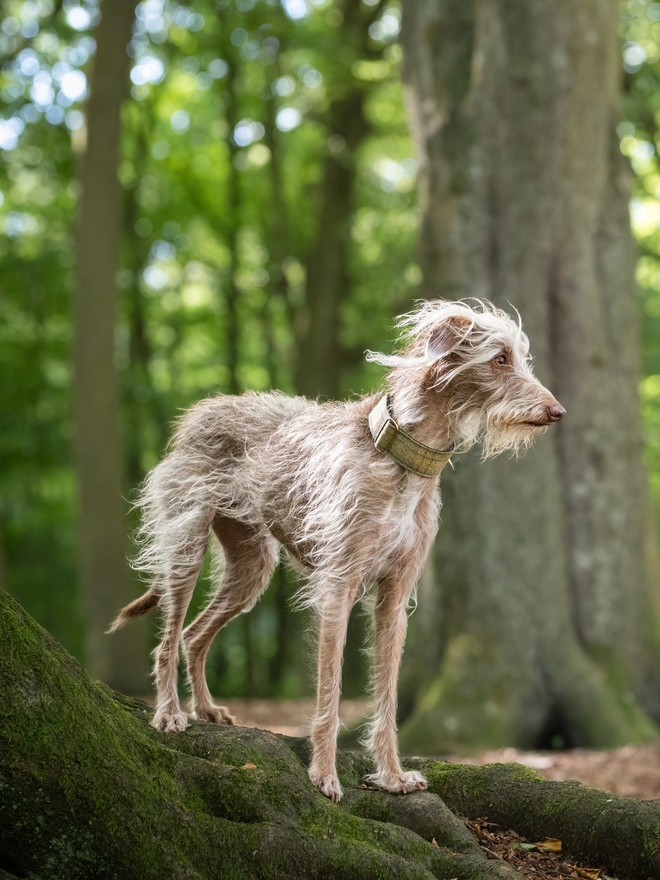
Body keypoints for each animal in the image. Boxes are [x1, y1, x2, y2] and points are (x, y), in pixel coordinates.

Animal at [111, 300, 564, 804]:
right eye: (500, 358)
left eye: (521, 358)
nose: (558, 411)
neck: (401, 461)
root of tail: (201, 409)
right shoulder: (337, 587)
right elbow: (329, 692)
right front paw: (324, 775)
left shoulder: (393, 600)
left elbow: (387, 698)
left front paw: (392, 776)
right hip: (187, 547)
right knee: (169, 638)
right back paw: (169, 713)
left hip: (252, 567)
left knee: (194, 635)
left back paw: (208, 709)